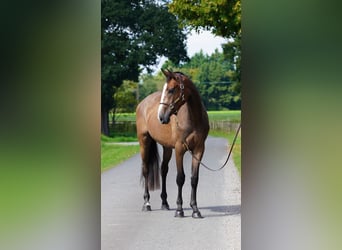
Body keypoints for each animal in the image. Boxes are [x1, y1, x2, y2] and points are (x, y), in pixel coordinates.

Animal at [136, 69, 210, 219]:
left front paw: (195, 210)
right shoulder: (179, 149)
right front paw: (179, 210)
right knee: (146, 170)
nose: (161, 117)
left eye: (170, 90)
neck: (193, 118)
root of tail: (142, 103)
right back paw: (147, 204)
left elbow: (194, 179)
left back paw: (165, 203)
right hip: (144, 141)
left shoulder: (199, 150)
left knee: (163, 170)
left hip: (167, 148)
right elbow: (180, 178)